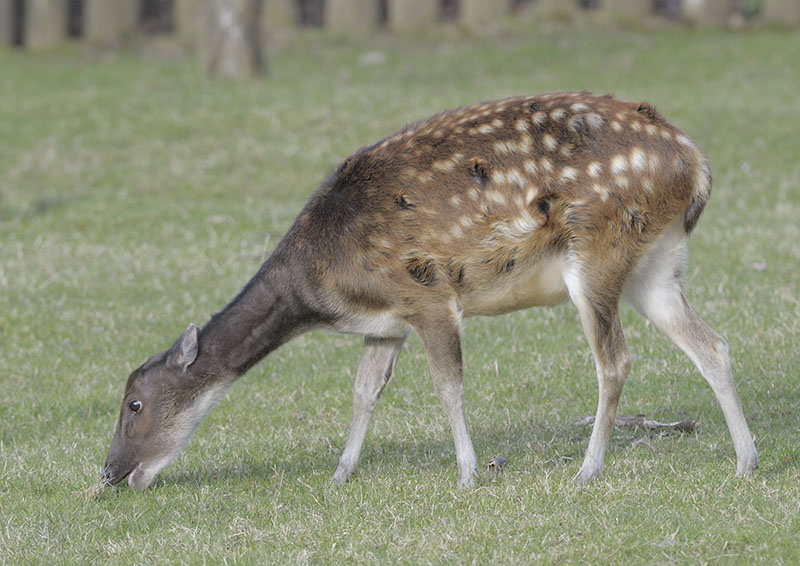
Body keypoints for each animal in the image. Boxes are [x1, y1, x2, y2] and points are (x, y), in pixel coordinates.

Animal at [102, 91, 758, 490]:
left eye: (133, 403)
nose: (110, 473)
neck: (326, 288)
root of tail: (695, 162)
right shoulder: (386, 323)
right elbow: (364, 392)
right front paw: (341, 472)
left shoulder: (427, 292)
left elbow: (447, 385)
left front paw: (468, 473)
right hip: (657, 263)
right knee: (712, 344)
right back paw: (747, 459)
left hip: (597, 249)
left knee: (615, 360)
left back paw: (588, 469)